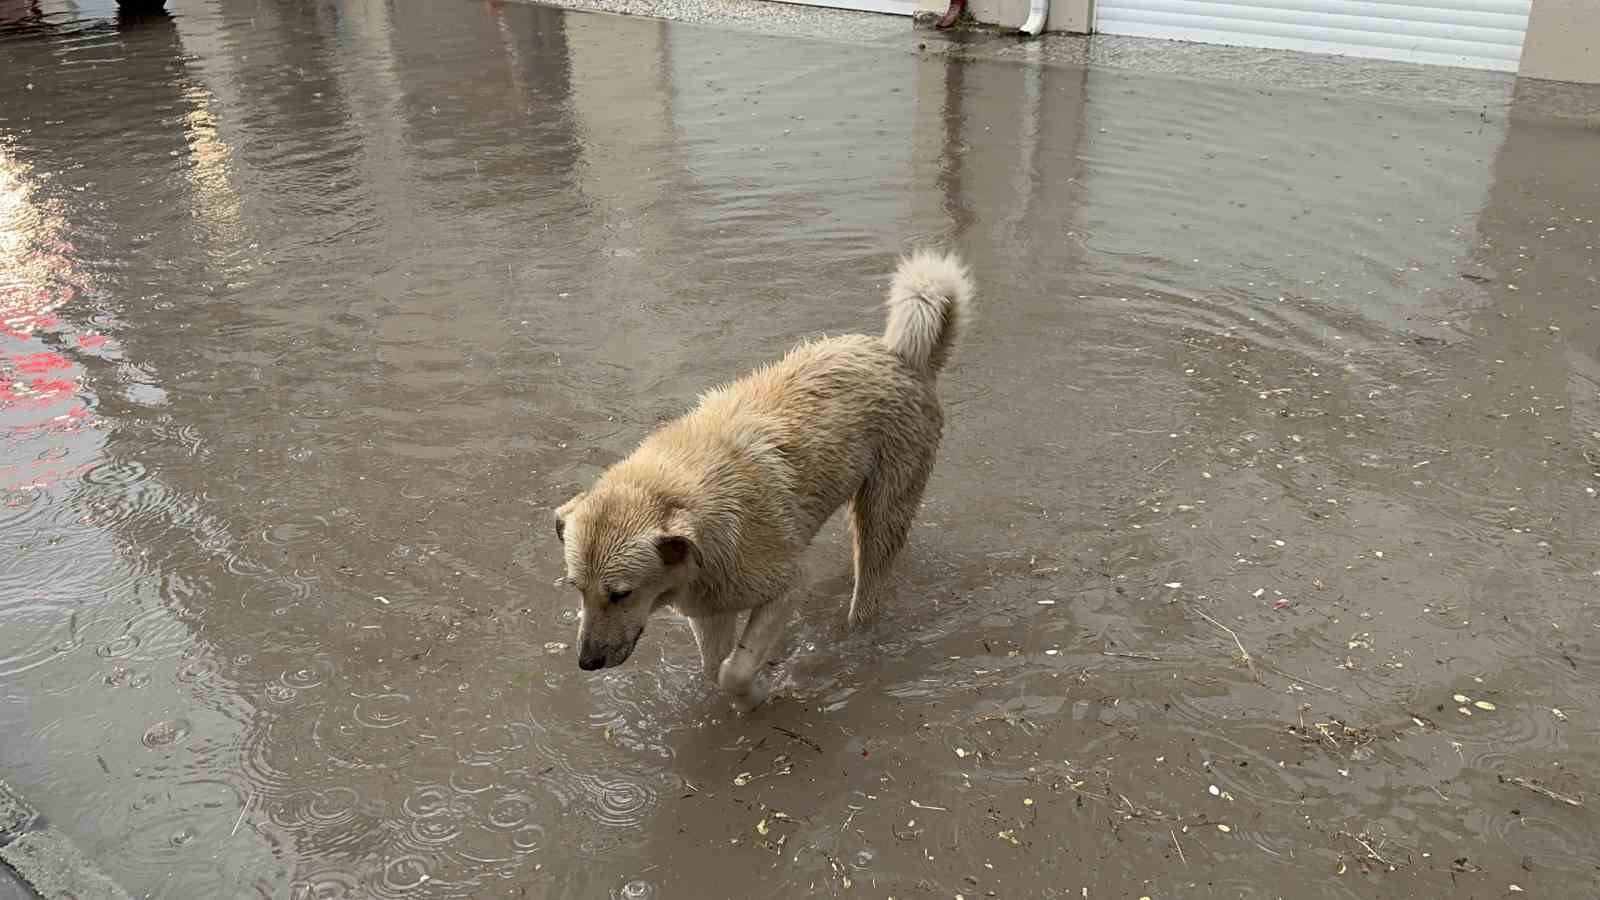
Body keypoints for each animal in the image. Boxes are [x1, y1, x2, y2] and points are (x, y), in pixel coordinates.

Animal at [556, 249, 966, 707]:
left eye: (620, 593)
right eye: (577, 588)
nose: (587, 663)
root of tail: (899, 355)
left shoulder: (787, 585)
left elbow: (734, 670)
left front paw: (757, 693)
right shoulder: (710, 609)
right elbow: (714, 667)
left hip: (884, 506)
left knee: (870, 584)